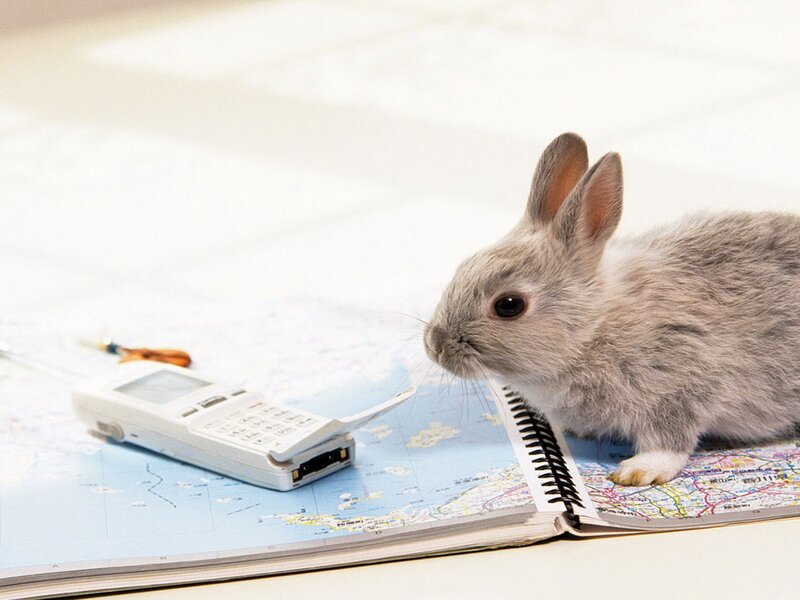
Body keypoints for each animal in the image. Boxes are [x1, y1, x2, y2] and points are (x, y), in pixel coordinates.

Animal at [424, 132, 800, 486]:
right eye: (463, 265)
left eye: (509, 305)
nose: (434, 346)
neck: (594, 327)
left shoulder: (682, 384)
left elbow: (670, 440)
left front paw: (640, 471)